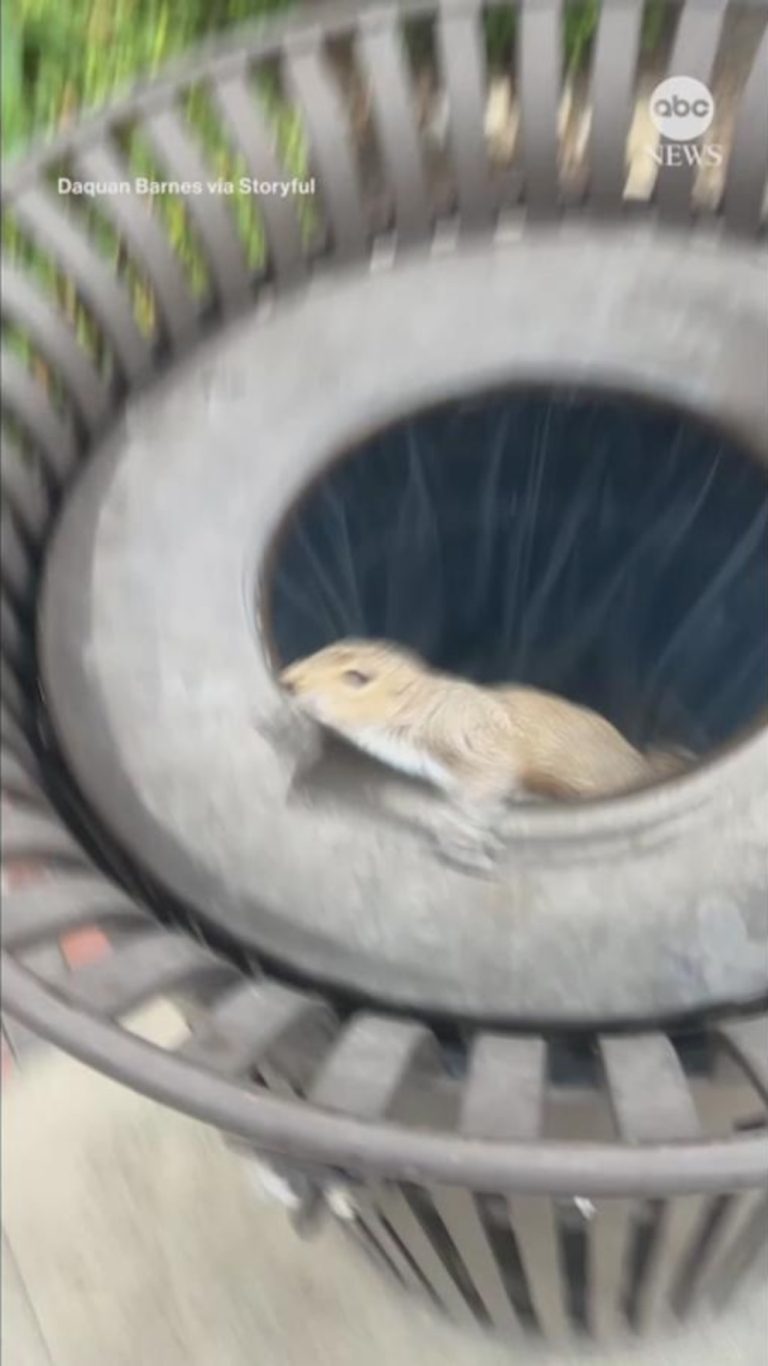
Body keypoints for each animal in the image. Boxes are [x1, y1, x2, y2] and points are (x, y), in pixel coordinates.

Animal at [279, 638, 691, 872]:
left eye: (357, 678)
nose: (286, 680)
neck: (422, 706)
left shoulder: (475, 738)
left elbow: (484, 786)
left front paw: (459, 834)